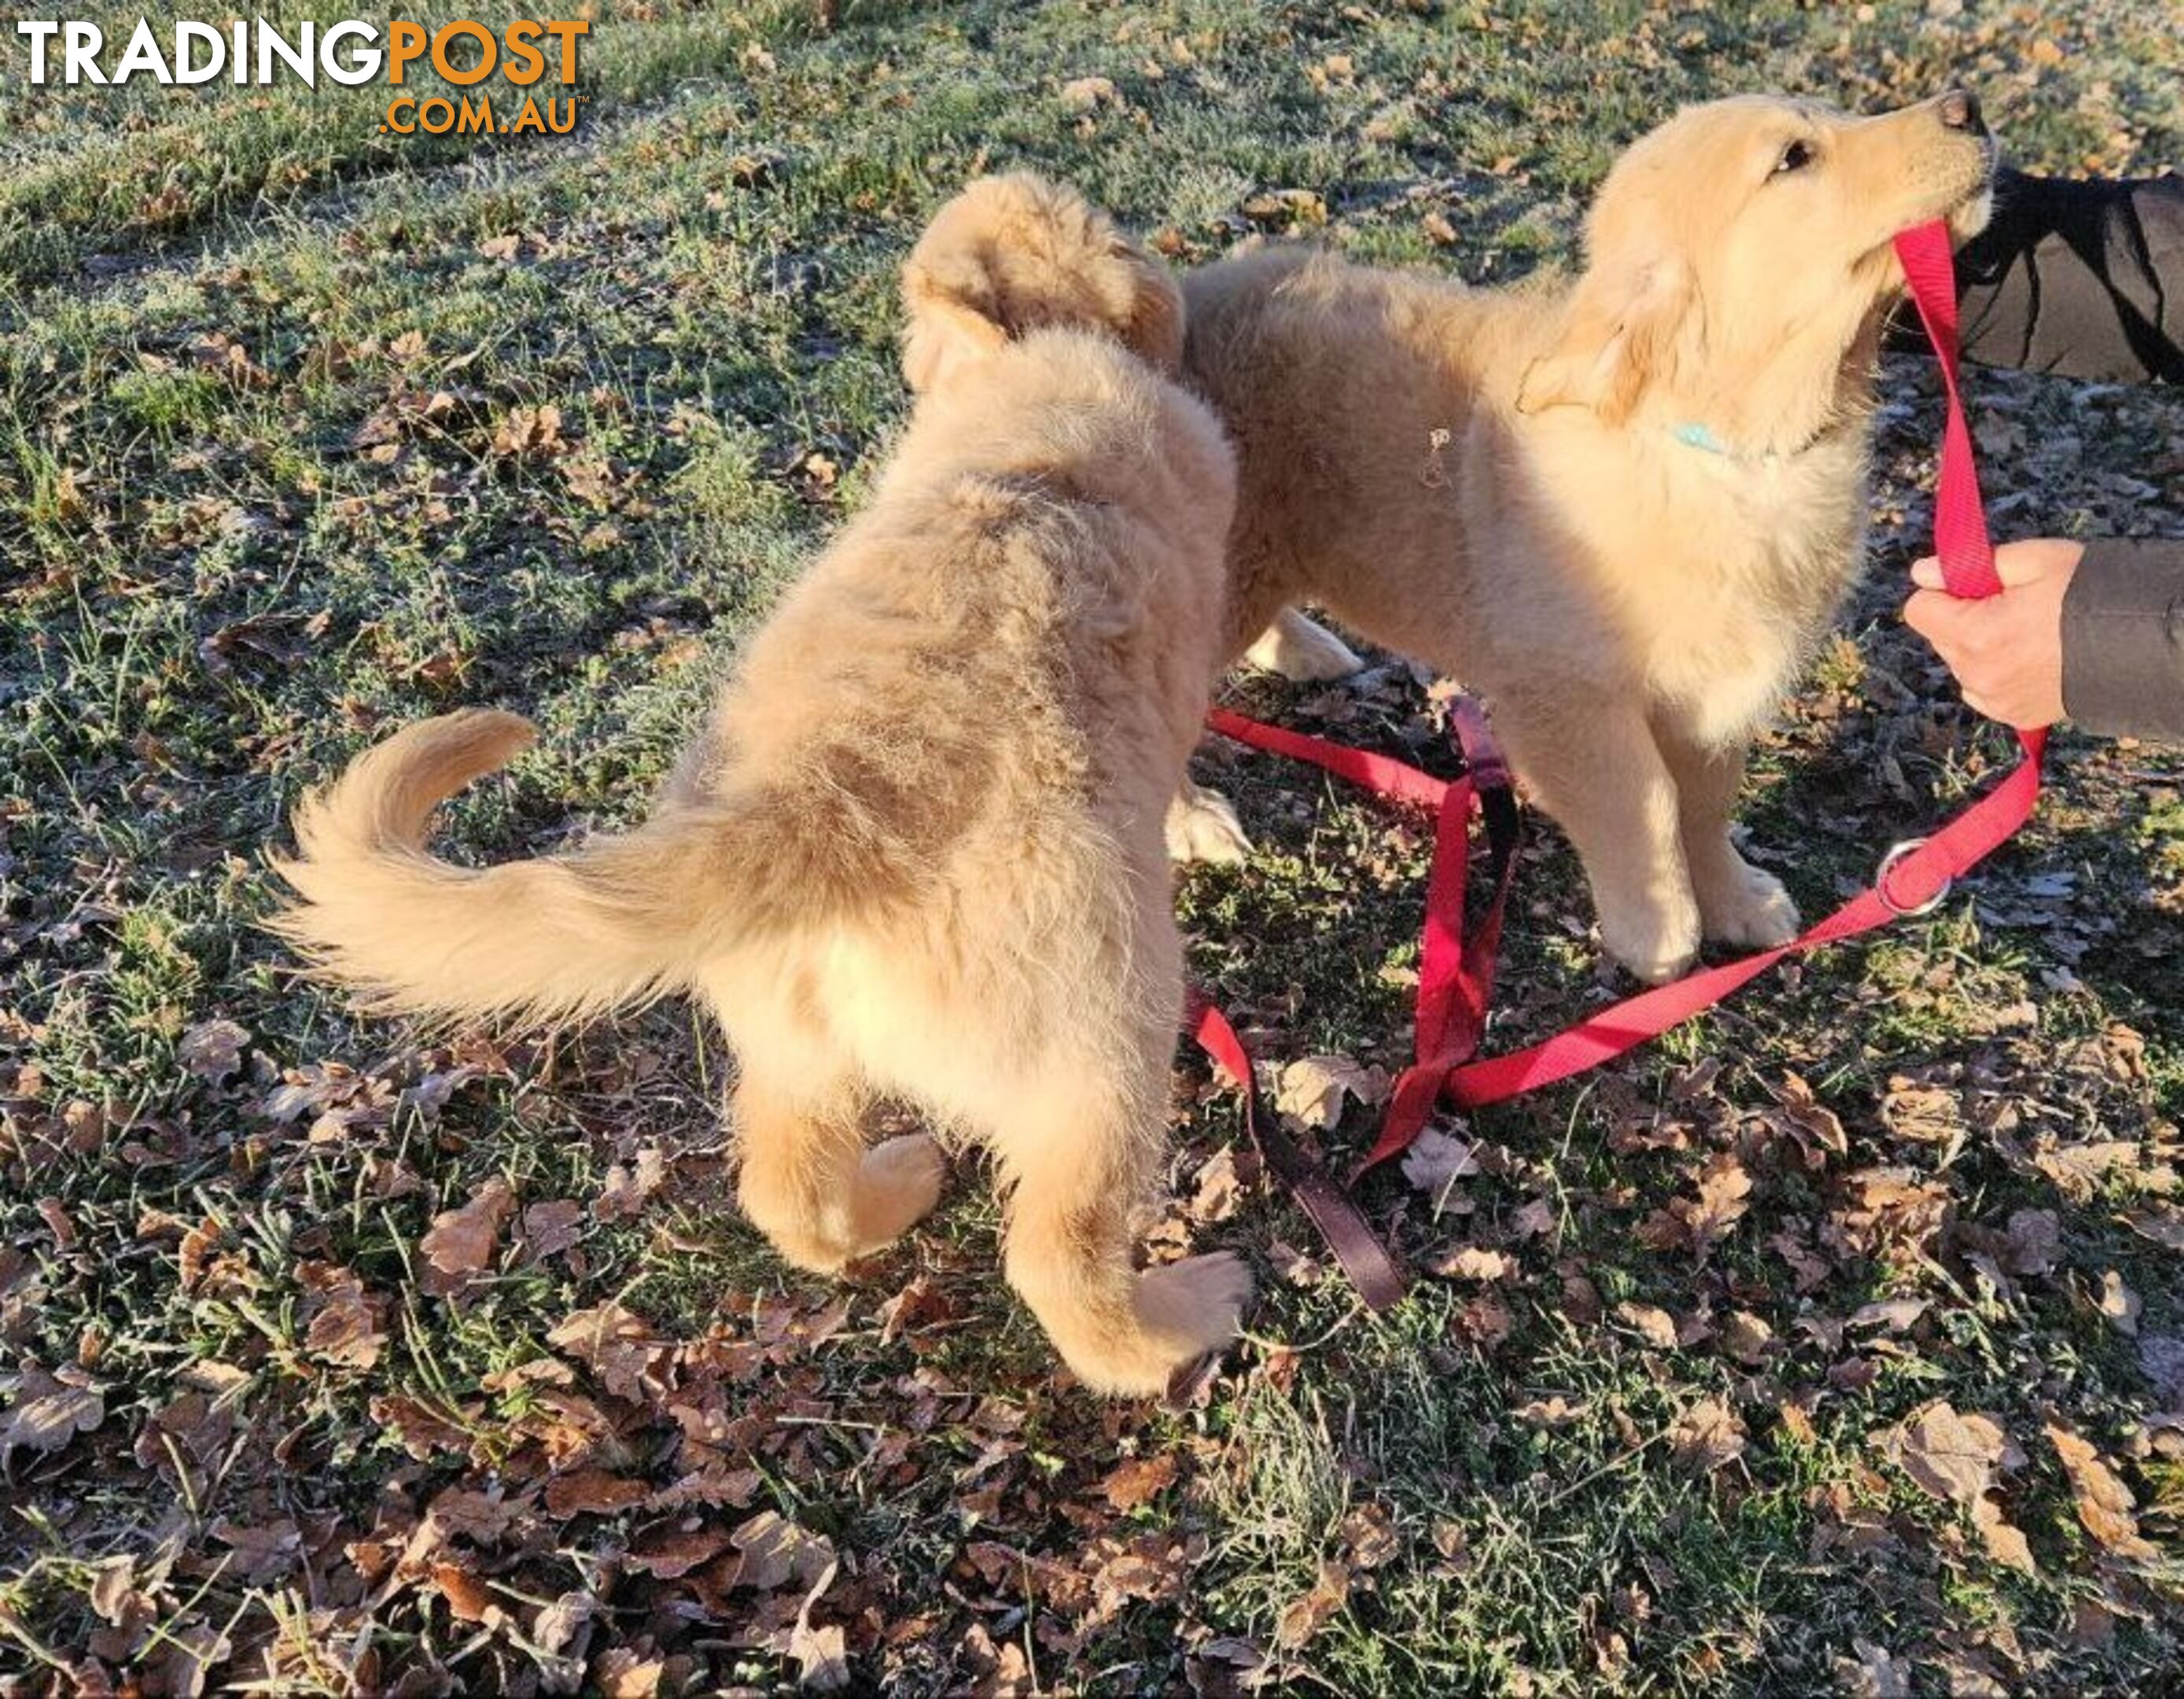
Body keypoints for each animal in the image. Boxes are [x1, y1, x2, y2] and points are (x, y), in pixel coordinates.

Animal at [277, 169, 1249, 1388]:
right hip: (1105, 1045)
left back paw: (901, 1182)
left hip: (790, 1047)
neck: (1020, 361)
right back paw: (1191, 1310)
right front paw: (1203, 818)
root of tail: (824, 806)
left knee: (792, 1199)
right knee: (1061, 1263)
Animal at [1179, 92, 2000, 978]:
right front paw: (1660, 937)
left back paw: (1304, 649)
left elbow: (1705, 803)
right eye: (1792, 158)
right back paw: (1191, 817)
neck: (1727, 452)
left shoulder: (1712, 692)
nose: (1966, 106)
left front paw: (1734, 900)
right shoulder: (1568, 695)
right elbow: (1644, 803)